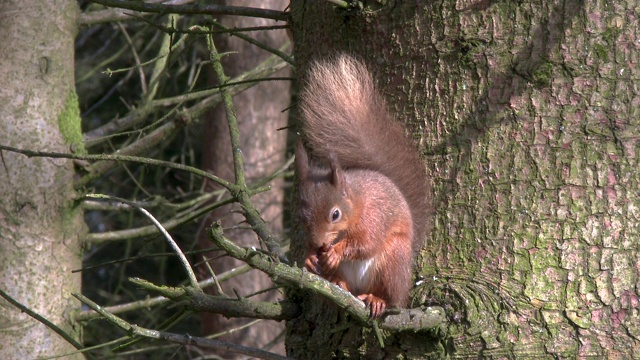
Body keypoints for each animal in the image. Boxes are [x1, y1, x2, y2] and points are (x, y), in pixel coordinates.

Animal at [296, 54, 430, 318]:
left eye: (335, 214)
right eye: (302, 216)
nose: (320, 244)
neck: (355, 201)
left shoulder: (373, 217)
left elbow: (366, 242)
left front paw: (337, 251)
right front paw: (309, 256)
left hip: (393, 262)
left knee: (392, 297)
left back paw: (378, 300)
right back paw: (338, 282)